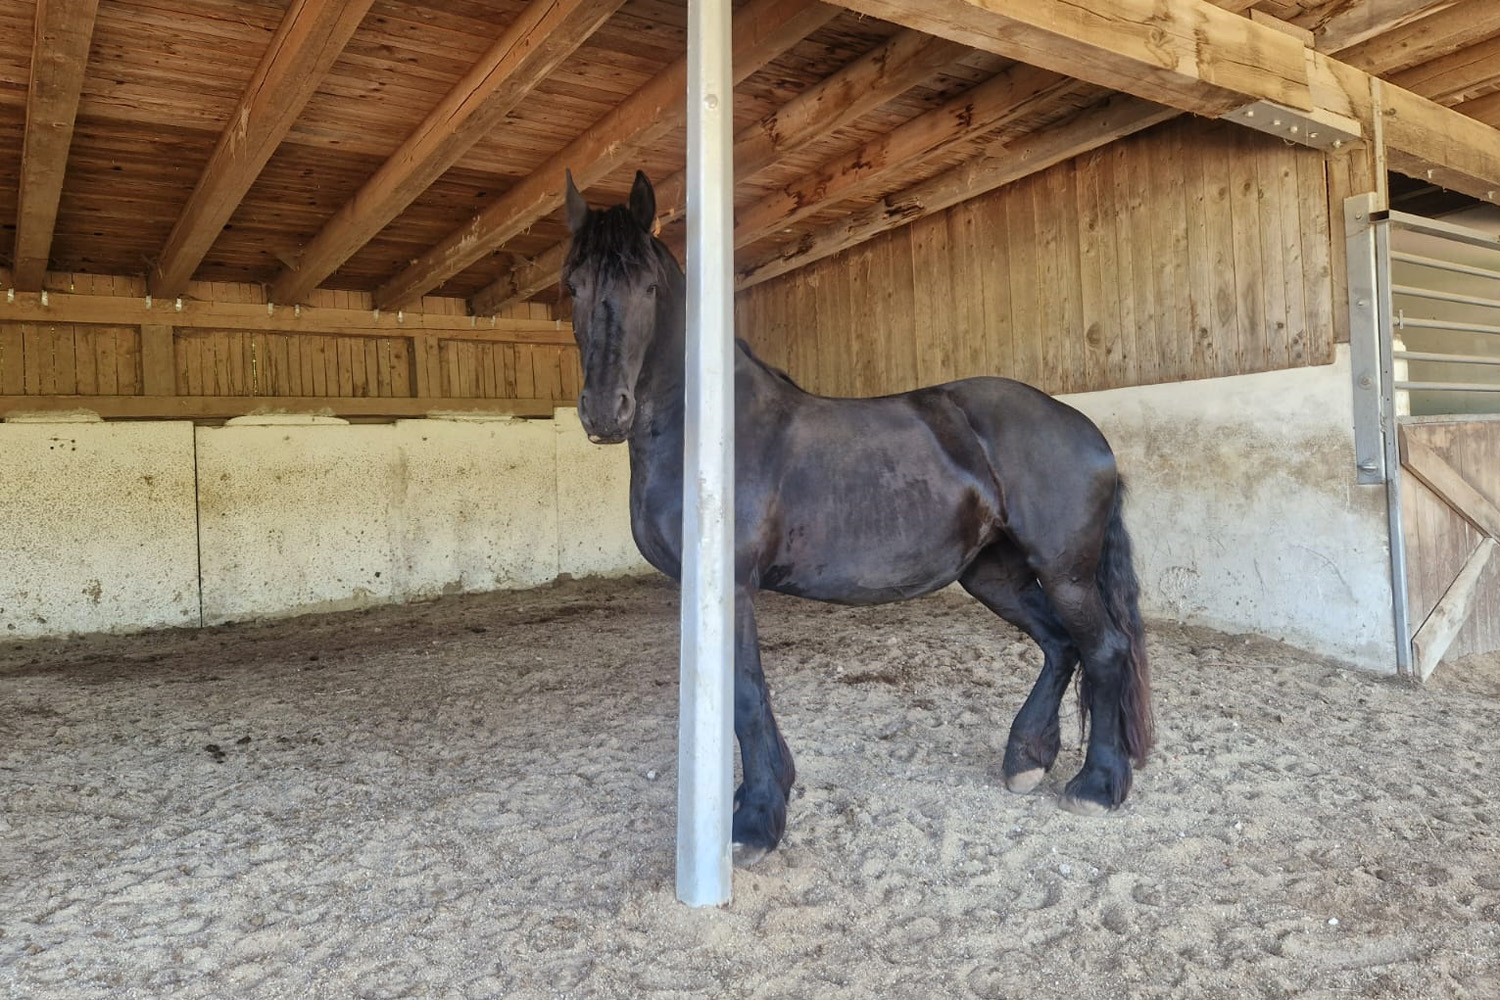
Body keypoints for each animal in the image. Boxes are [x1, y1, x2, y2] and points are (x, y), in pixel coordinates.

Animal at [562, 169, 1154, 865]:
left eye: (649, 288)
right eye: (572, 285)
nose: (606, 410)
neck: (710, 435)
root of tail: (1086, 429)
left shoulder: (730, 588)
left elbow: (744, 692)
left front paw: (755, 819)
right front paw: (760, 796)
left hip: (1065, 573)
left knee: (1105, 650)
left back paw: (1098, 786)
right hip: (994, 574)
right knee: (1061, 646)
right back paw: (1027, 759)